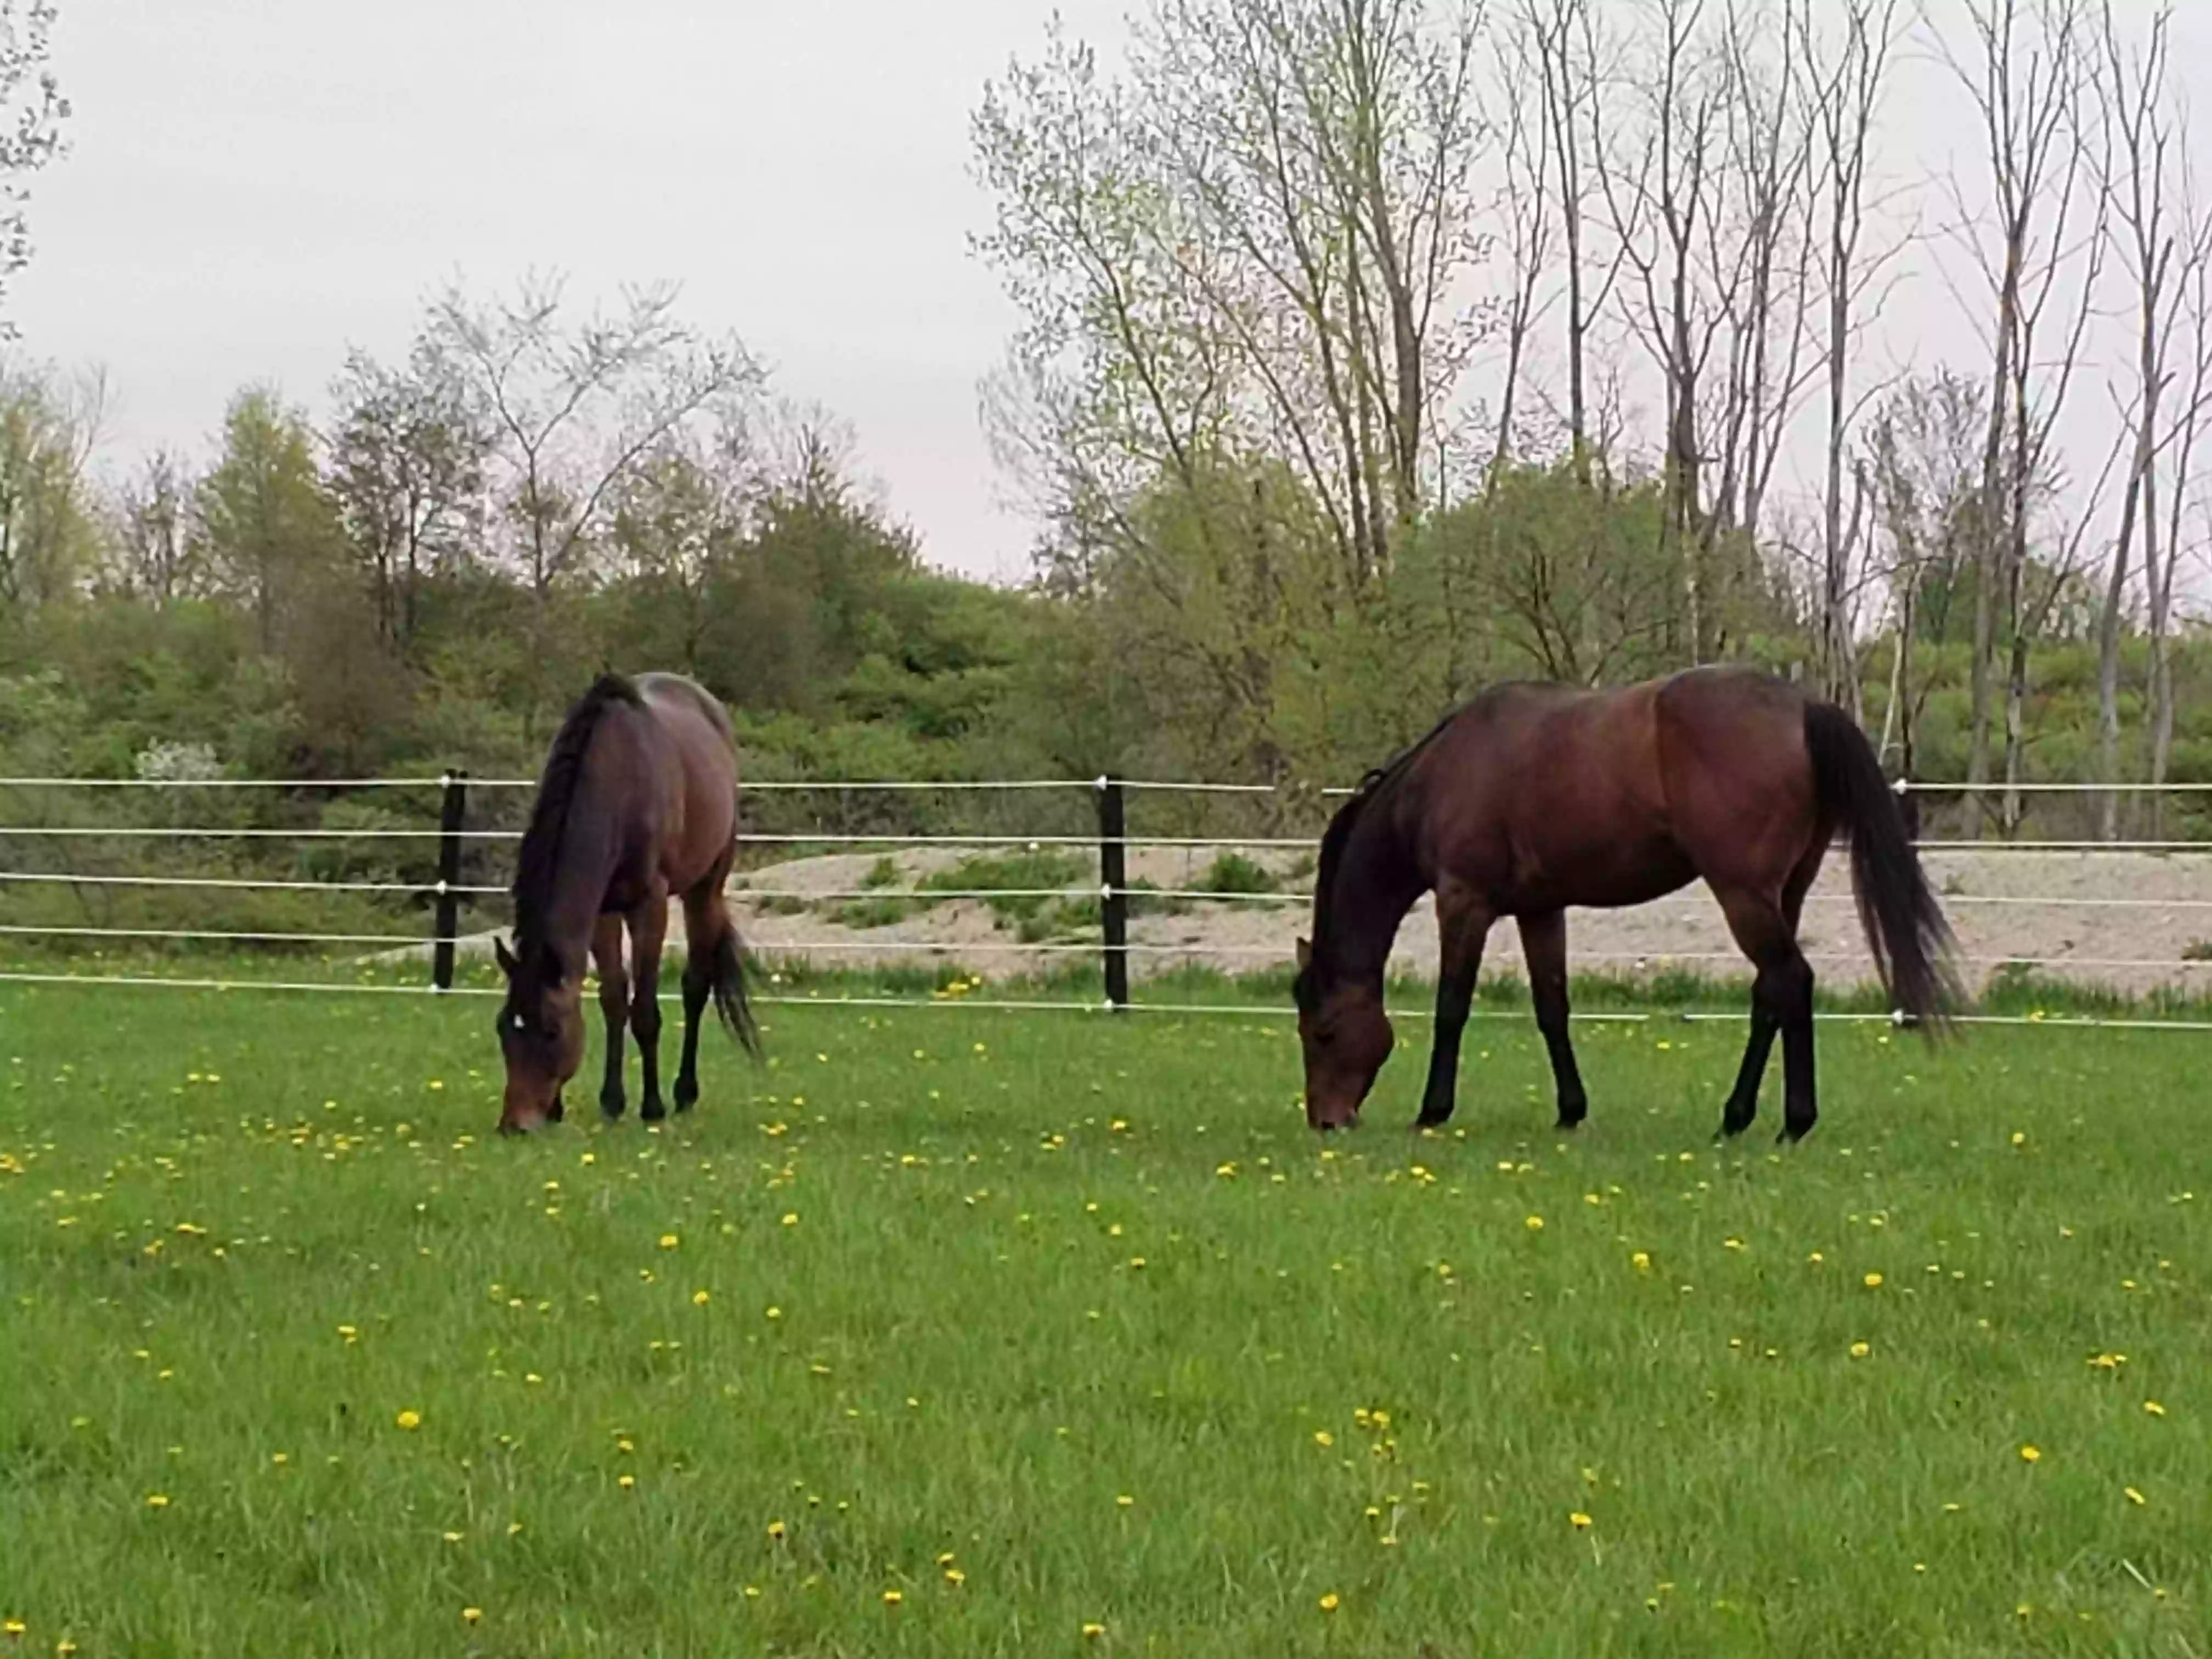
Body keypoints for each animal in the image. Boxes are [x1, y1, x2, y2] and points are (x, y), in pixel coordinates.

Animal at [493, 672, 761, 1132]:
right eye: (504, 1029)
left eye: (551, 1031)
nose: (516, 1124)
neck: (617, 780)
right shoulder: (602, 911)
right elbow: (614, 1000)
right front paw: (610, 1101)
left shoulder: (648, 905)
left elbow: (645, 1011)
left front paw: (651, 1106)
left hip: (705, 887)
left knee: (696, 985)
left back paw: (684, 1093)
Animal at [1291, 663, 1964, 1141]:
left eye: (1324, 1032)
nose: (1328, 1120)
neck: (1444, 776)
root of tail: (1804, 707)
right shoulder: (1540, 910)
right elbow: (1551, 1009)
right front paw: (1570, 1111)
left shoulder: (1464, 903)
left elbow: (1451, 1009)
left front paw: (1433, 1111)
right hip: (1784, 894)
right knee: (1770, 994)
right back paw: (1736, 1118)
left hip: (1743, 894)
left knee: (1791, 982)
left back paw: (1791, 1123)